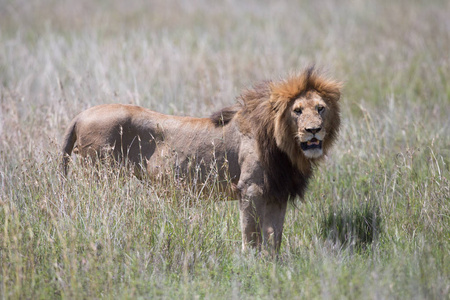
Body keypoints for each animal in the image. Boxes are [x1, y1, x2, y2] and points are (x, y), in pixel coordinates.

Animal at [62, 67, 342, 252]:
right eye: (297, 111)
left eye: (320, 108)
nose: (313, 130)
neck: (286, 147)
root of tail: (80, 115)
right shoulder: (250, 189)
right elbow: (251, 234)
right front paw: (251, 264)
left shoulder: (277, 192)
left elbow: (274, 236)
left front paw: (272, 267)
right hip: (101, 179)